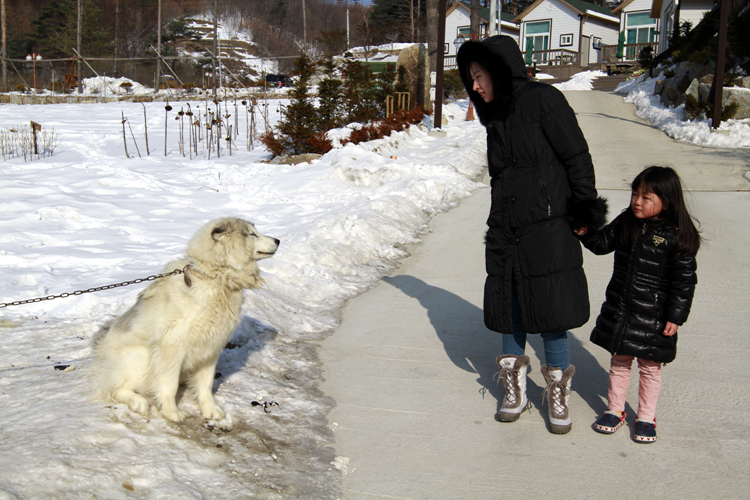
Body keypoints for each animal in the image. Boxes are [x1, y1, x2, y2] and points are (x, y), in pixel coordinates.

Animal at [92, 219, 280, 422]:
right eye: (253, 234)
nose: (278, 240)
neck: (216, 278)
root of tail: (103, 348)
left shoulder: (210, 349)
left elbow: (206, 385)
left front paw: (210, 410)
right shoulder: (172, 348)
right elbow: (169, 385)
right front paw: (172, 413)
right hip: (141, 355)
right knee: (114, 387)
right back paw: (139, 402)